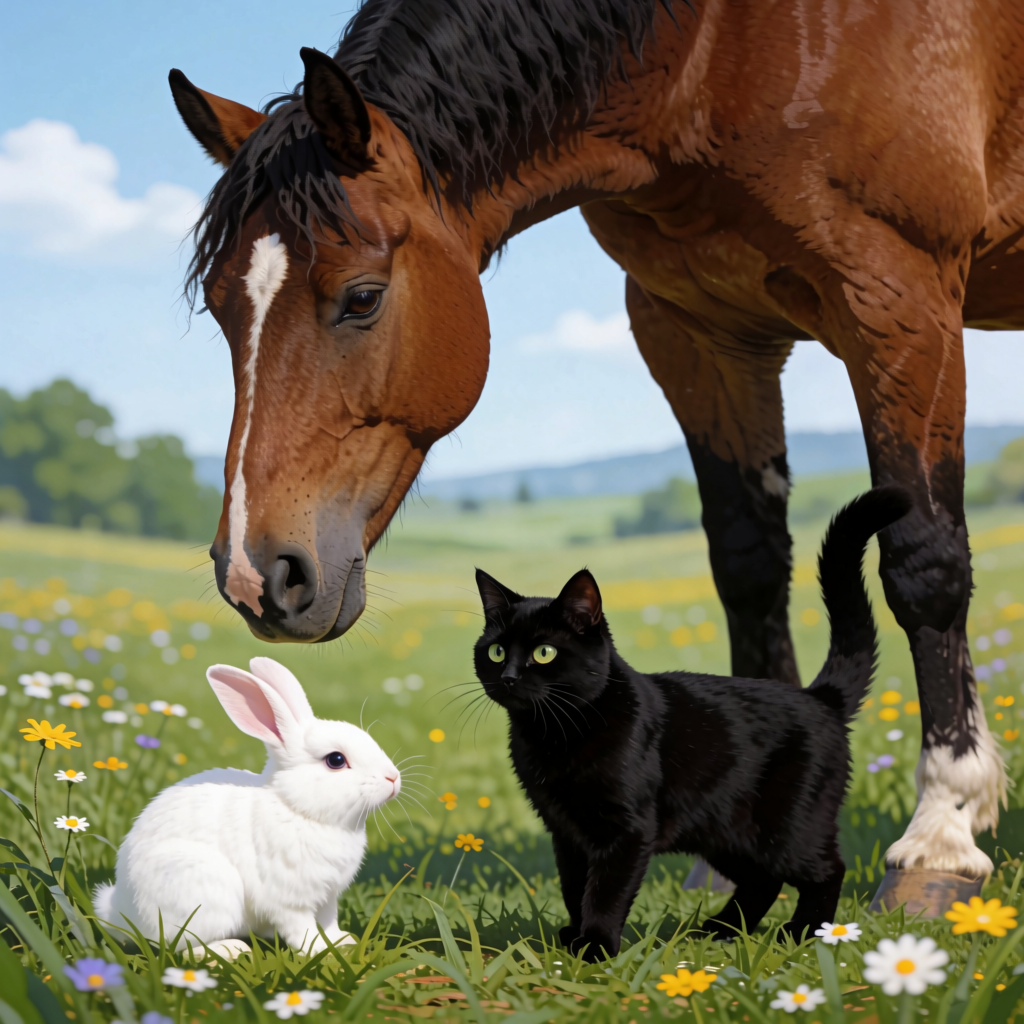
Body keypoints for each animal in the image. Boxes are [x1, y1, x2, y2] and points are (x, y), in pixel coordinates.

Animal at [94, 657, 400, 957]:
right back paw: (231, 949)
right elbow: (301, 928)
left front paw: (342, 942)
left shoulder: (328, 895)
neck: (297, 808)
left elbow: (328, 921)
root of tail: (120, 910)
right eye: (335, 760)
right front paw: (317, 950)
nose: (393, 778)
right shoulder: (288, 899)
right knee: (183, 947)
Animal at [168, 0, 1024, 913]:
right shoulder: (695, 331)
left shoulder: (901, 295)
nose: (258, 575)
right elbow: (750, 567)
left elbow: (924, 565)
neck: (711, 51)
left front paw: (940, 839)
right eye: (219, 308)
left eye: (362, 297)